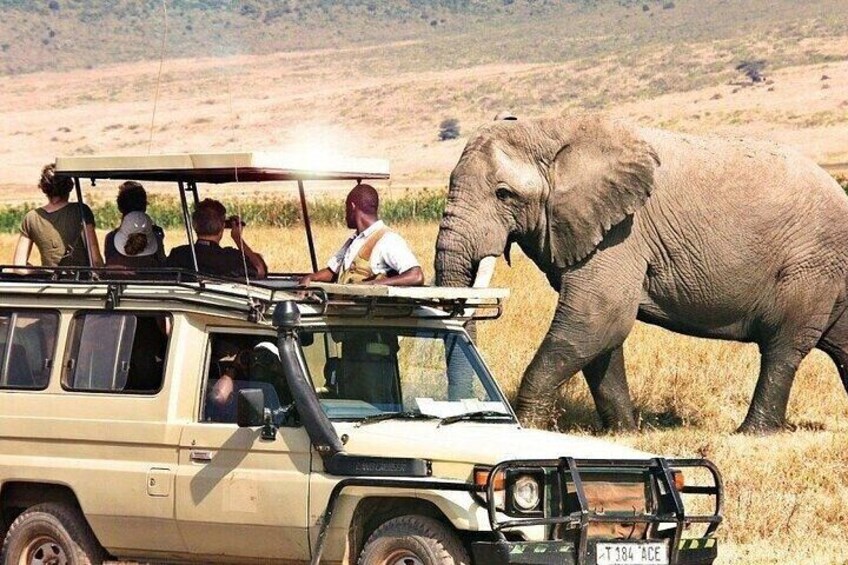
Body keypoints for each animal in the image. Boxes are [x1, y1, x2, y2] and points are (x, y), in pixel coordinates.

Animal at [434, 114, 848, 433]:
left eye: (504, 194)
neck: (551, 130)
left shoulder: (621, 233)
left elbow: (597, 319)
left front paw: (530, 429)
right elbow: (601, 336)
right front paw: (623, 433)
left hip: (810, 266)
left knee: (782, 348)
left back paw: (752, 433)